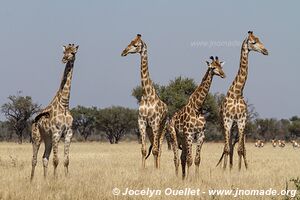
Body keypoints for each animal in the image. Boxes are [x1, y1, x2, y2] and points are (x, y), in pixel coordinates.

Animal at [29, 43, 77, 181]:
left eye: (73, 53)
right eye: (64, 52)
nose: (64, 59)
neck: (64, 104)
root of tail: (33, 121)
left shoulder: (68, 133)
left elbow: (66, 160)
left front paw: (66, 178)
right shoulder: (56, 132)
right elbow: (56, 160)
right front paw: (55, 179)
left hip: (47, 139)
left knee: (44, 157)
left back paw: (45, 179)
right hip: (37, 137)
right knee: (34, 159)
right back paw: (31, 180)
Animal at [122, 34, 169, 169]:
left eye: (135, 45)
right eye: (130, 42)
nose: (123, 52)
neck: (147, 95)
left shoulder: (155, 123)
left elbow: (155, 150)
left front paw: (156, 169)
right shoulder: (142, 123)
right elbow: (143, 150)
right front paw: (142, 169)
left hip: (163, 127)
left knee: (159, 148)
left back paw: (158, 167)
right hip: (150, 130)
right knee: (154, 146)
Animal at [217, 30, 268, 170]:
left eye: (259, 39)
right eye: (253, 42)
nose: (266, 51)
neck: (237, 93)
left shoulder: (241, 121)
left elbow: (240, 149)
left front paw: (239, 170)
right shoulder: (227, 120)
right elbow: (227, 149)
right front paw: (225, 170)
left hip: (238, 128)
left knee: (236, 147)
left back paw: (234, 166)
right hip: (225, 125)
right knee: (227, 146)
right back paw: (226, 167)